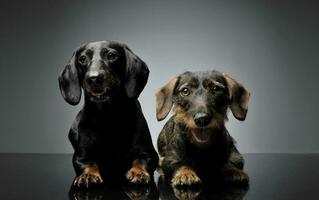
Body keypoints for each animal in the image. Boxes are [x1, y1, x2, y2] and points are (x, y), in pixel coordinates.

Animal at [58, 40, 159, 188]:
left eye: (111, 55)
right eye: (82, 58)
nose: (93, 78)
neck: (108, 117)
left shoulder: (149, 153)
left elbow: (140, 160)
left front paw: (138, 172)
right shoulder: (80, 156)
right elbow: (88, 164)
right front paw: (88, 174)